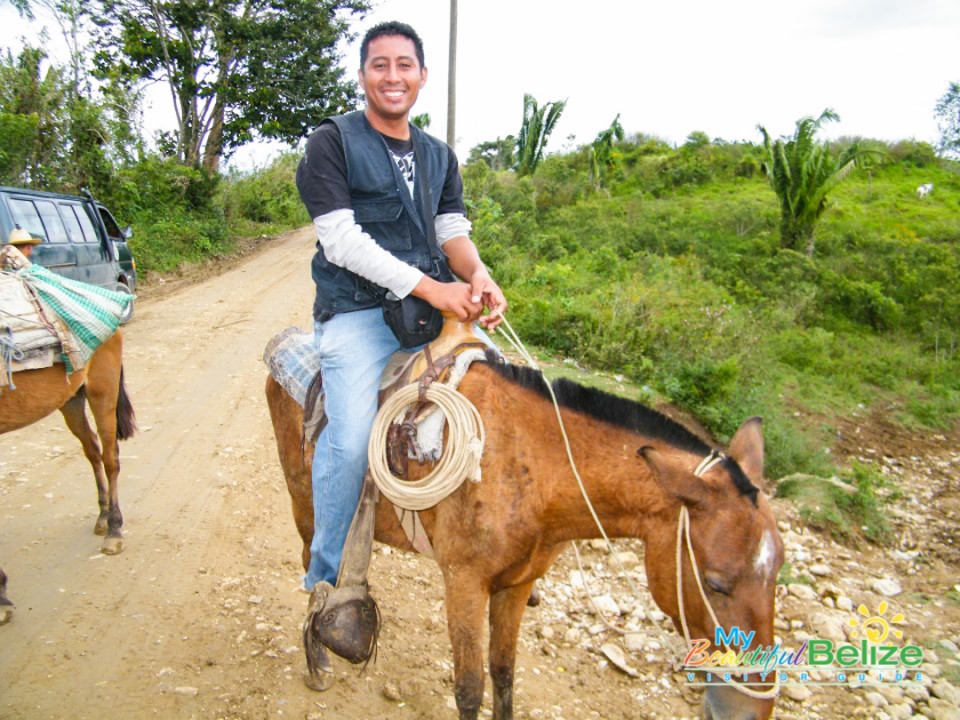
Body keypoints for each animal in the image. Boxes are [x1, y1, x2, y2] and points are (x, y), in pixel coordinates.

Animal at [0, 332, 136, 620]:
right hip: (70, 396)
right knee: (93, 450)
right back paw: (103, 516)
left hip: (102, 389)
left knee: (110, 459)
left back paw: (114, 531)